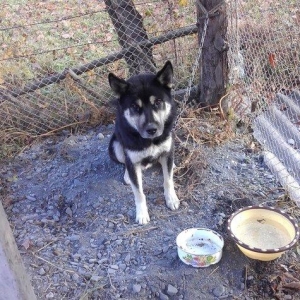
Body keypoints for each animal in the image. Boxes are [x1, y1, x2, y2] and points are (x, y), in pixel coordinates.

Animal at [108, 61, 179, 224]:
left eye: (158, 102)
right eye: (135, 106)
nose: (152, 129)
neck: (150, 141)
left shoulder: (167, 148)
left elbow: (168, 180)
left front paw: (171, 198)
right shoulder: (132, 160)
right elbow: (139, 192)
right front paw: (141, 213)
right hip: (115, 146)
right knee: (125, 162)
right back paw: (128, 175)